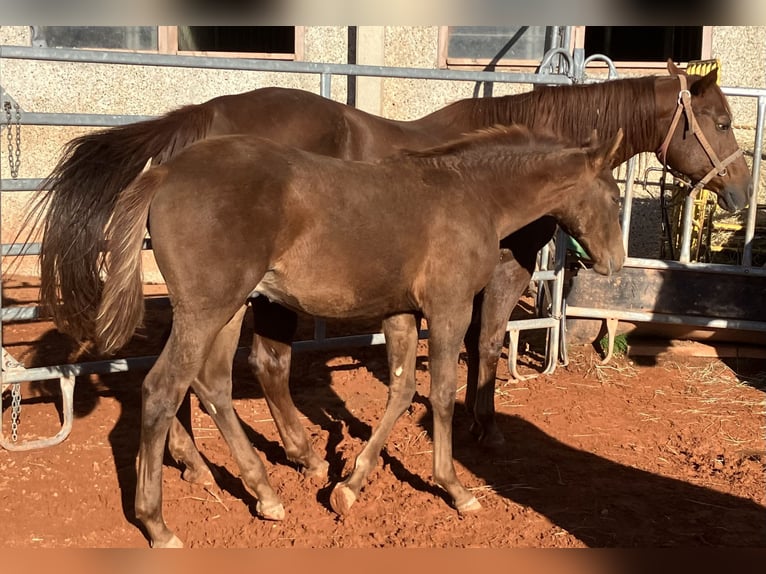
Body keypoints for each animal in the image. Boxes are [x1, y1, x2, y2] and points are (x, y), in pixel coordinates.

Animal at [23, 60, 749, 482]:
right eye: (719, 120)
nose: (741, 193)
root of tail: (202, 122)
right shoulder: (503, 274)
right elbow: (485, 347)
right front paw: (485, 432)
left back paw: (202, 460)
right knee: (254, 364)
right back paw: (270, 456)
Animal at [84, 125, 625, 547]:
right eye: (616, 196)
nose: (616, 263)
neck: (473, 195)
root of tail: (166, 172)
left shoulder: (400, 313)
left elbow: (402, 390)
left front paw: (349, 484)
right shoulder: (448, 310)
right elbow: (441, 395)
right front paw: (454, 488)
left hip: (230, 308)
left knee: (212, 385)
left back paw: (265, 493)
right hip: (207, 308)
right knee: (163, 389)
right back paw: (158, 524)